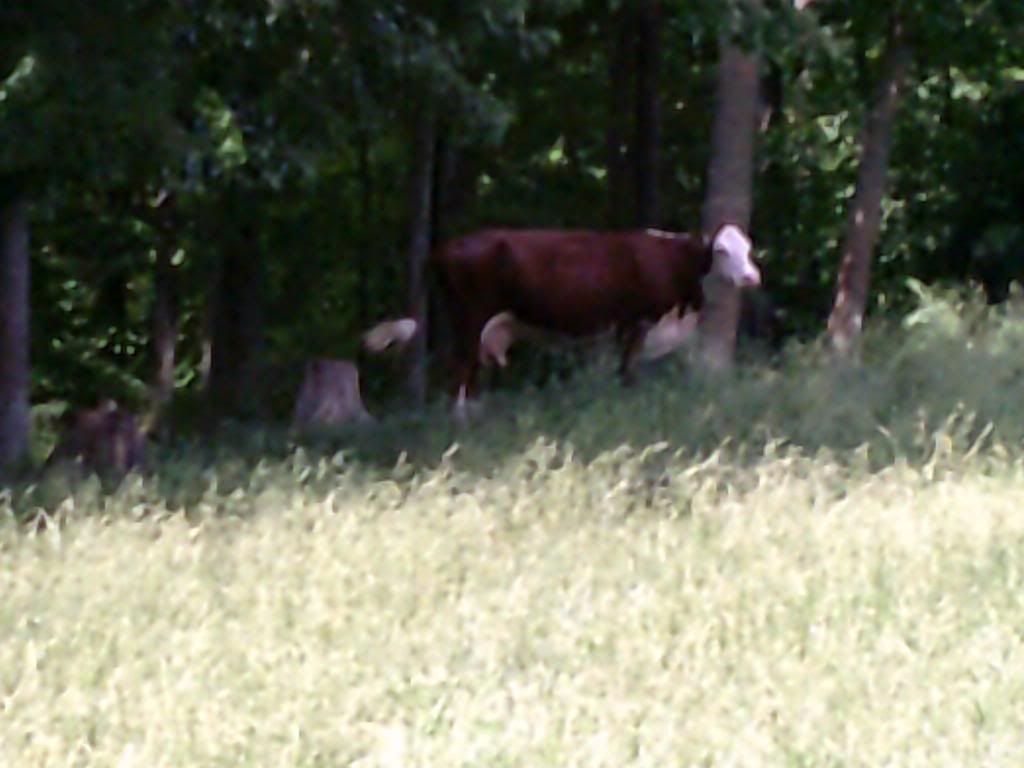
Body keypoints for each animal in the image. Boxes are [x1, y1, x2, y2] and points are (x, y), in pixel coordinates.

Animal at [364, 223, 760, 415]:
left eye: (748, 248)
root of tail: (445, 247)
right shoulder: (637, 323)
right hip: (469, 317)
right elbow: (628, 373)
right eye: (722, 250)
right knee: (459, 369)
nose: (751, 277)